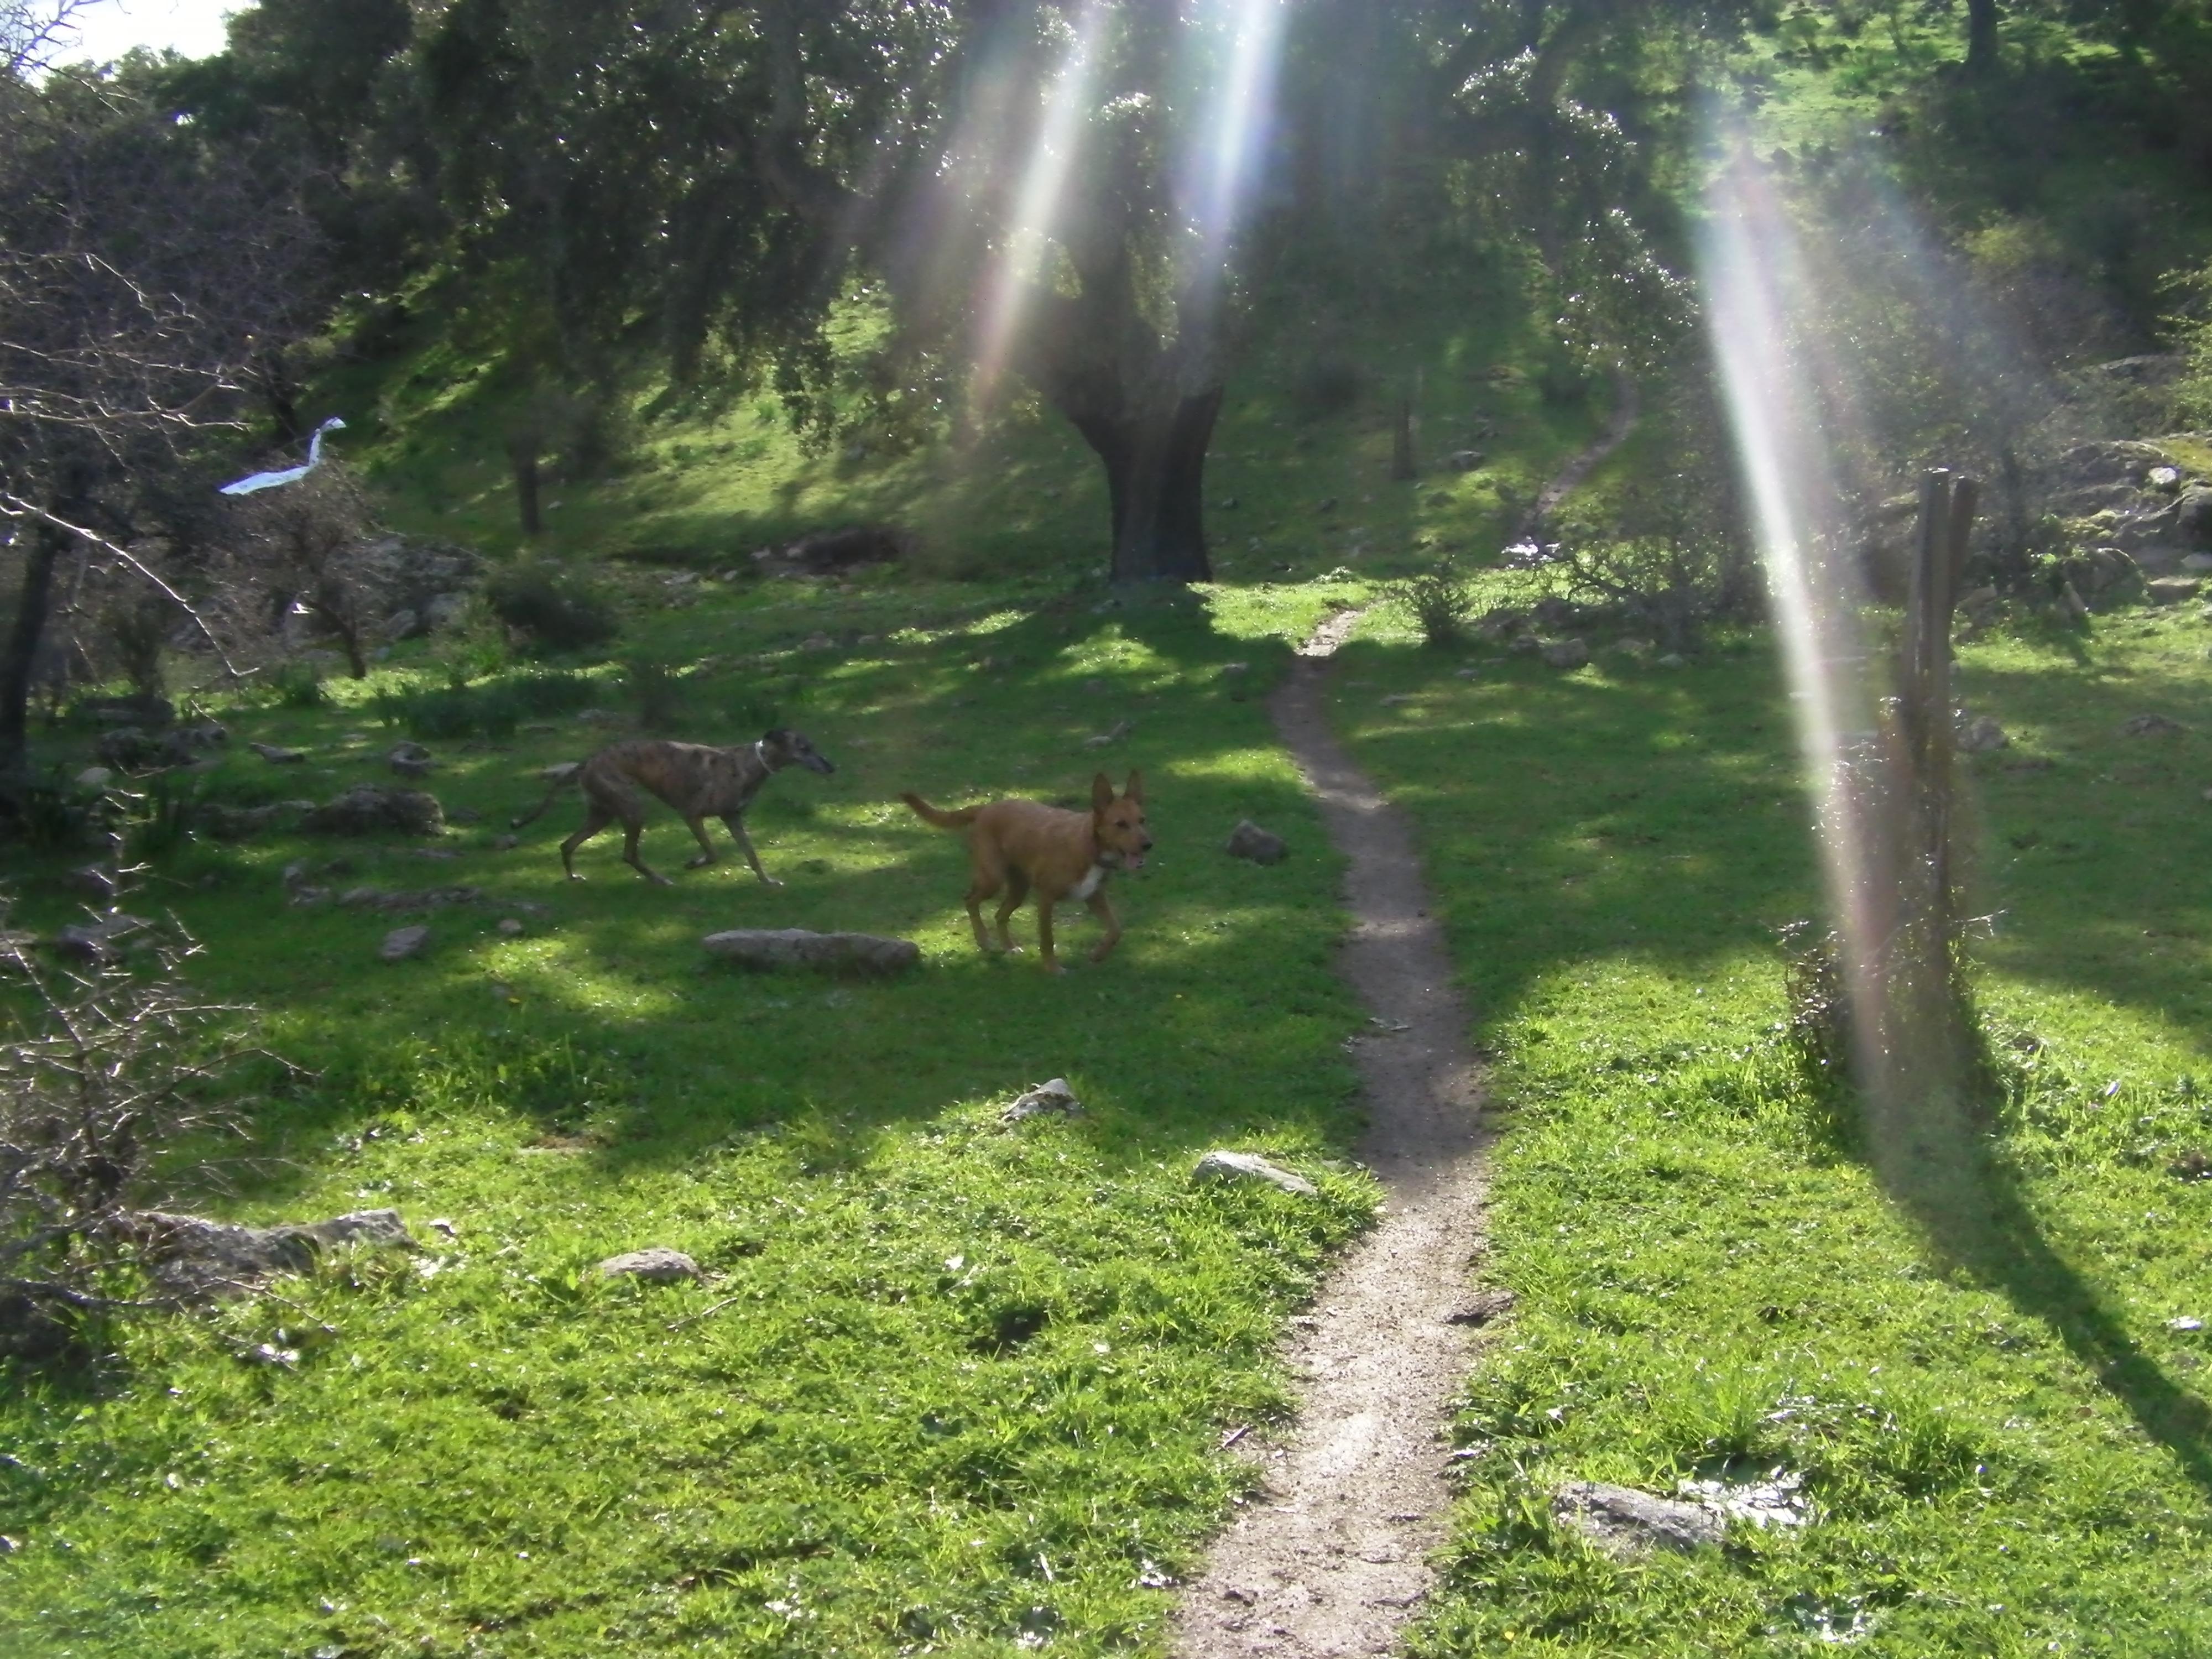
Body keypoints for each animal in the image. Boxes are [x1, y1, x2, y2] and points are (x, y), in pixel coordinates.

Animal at [509, 726, 836, 885]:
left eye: (813, 746)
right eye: (804, 748)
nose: (832, 767)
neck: (749, 764)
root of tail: (588, 761)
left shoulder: (733, 818)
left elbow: (752, 855)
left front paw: (767, 881)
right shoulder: (692, 815)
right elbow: (713, 853)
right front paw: (694, 863)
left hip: (602, 815)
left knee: (567, 845)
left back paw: (573, 878)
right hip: (633, 809)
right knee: (628, 854)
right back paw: (661, 880)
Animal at [898, 779, 1150, 973]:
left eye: (1142, 820)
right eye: (1120, 824)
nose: (1148, 845)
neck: (1088, 845)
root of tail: (985, 808)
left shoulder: (1094, 897)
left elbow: (1116, 929)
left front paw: (1097, 954)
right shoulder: (1046, 899)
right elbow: (1047, 938)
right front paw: (1053, 969)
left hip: (1019, 888)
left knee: (1000, 915)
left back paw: (1009, 948)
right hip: (993, 880)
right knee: (970, 900)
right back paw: (984, 941)